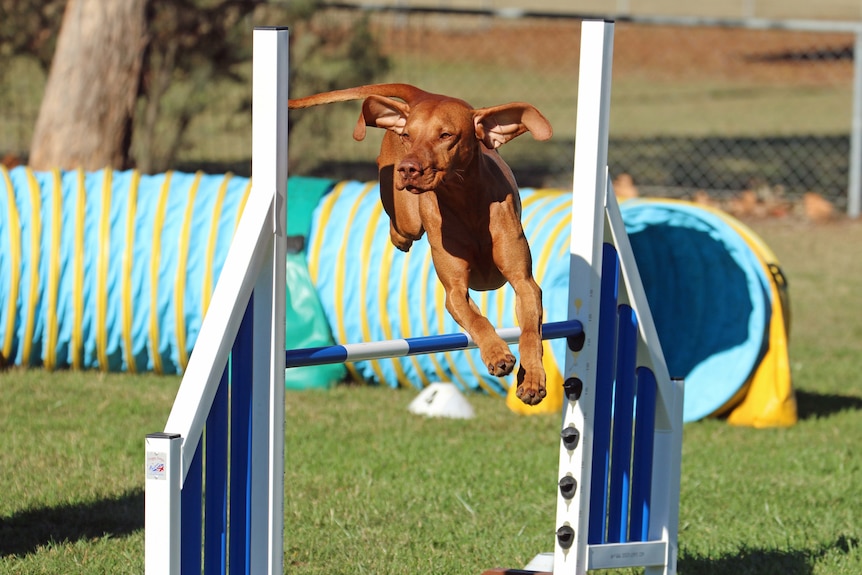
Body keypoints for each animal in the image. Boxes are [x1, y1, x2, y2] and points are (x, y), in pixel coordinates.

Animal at [290, 83, 552, 408]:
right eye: (407, 136)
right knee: (401, 229)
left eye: (446, 135)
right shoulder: (455, 292)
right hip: (407, 218)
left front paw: (532, 379)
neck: (466, 202)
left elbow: (529, 332)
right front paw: (496, 353)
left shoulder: (523, 282)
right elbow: (477, 320)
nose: (408, 169)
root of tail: (427, 94)